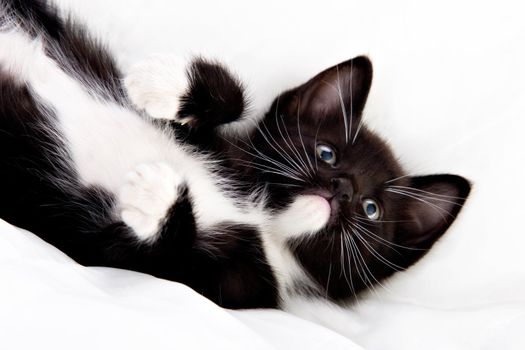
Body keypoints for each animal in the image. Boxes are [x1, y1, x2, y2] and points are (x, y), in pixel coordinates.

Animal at [0, 0, 470, 314]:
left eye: (372, 210)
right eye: (327, 153)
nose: (343, 189)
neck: (264, 219)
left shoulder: (230, 287)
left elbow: (147, 254)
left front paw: (157, 199)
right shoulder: (221, 149)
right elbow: (235, 98)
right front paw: (163, 82)